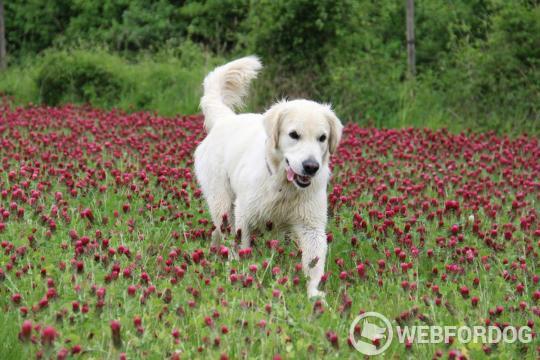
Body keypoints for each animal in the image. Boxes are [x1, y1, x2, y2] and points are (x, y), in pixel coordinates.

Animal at [194, 56, 342, 298]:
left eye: (322, 137)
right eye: (294, 135)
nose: (311, 167)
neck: (285, 185)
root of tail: (226, 119)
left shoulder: (311, 225)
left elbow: (314, 263)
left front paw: (314, 295)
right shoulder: (244, 214)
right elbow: (241, 246)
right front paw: (240, 273)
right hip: (222, 202)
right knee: (221, 229)